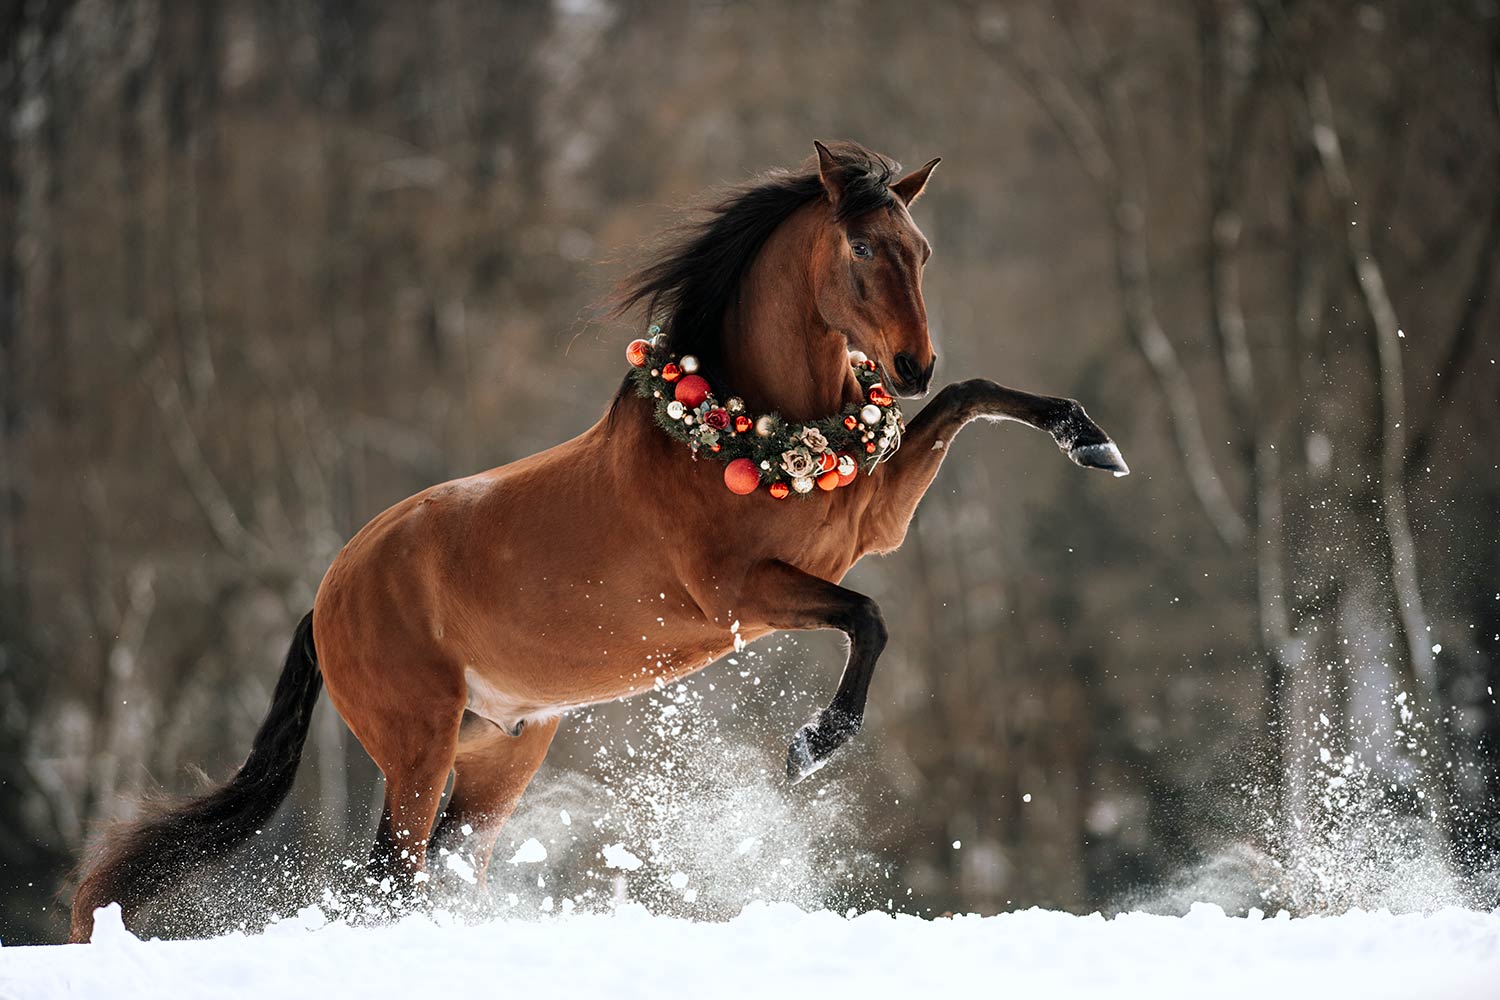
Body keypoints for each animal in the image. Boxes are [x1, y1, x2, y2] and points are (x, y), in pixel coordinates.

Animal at [69, 140, 1127, 941]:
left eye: (922, 247)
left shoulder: (874, 519)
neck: (752, 431)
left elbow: (973, 401)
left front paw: (1092, 440)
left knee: (440, 868)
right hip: (416, 745)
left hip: (499, 754)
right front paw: (811, 749)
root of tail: (331, 589)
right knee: (390, 875)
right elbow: (868, 619)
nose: (910, 366)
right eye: (863, 244)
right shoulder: (743, 595)